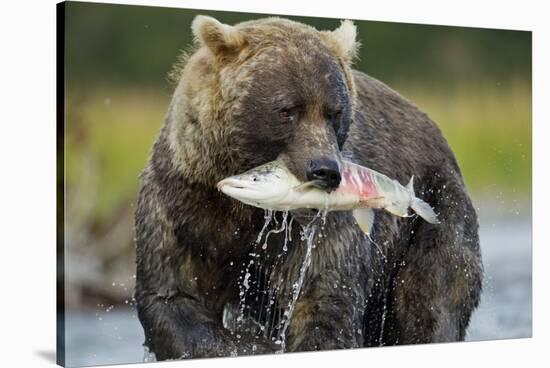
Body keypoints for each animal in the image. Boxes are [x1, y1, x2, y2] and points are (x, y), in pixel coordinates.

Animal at [134, 15, 484, 360]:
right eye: (287, 110)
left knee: (431, 299)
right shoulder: (184, 205)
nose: (325, 170)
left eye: (335, 112)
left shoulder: (323, 229)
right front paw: (253, 344)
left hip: (435, 211)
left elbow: (324, 299)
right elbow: (174, 297)